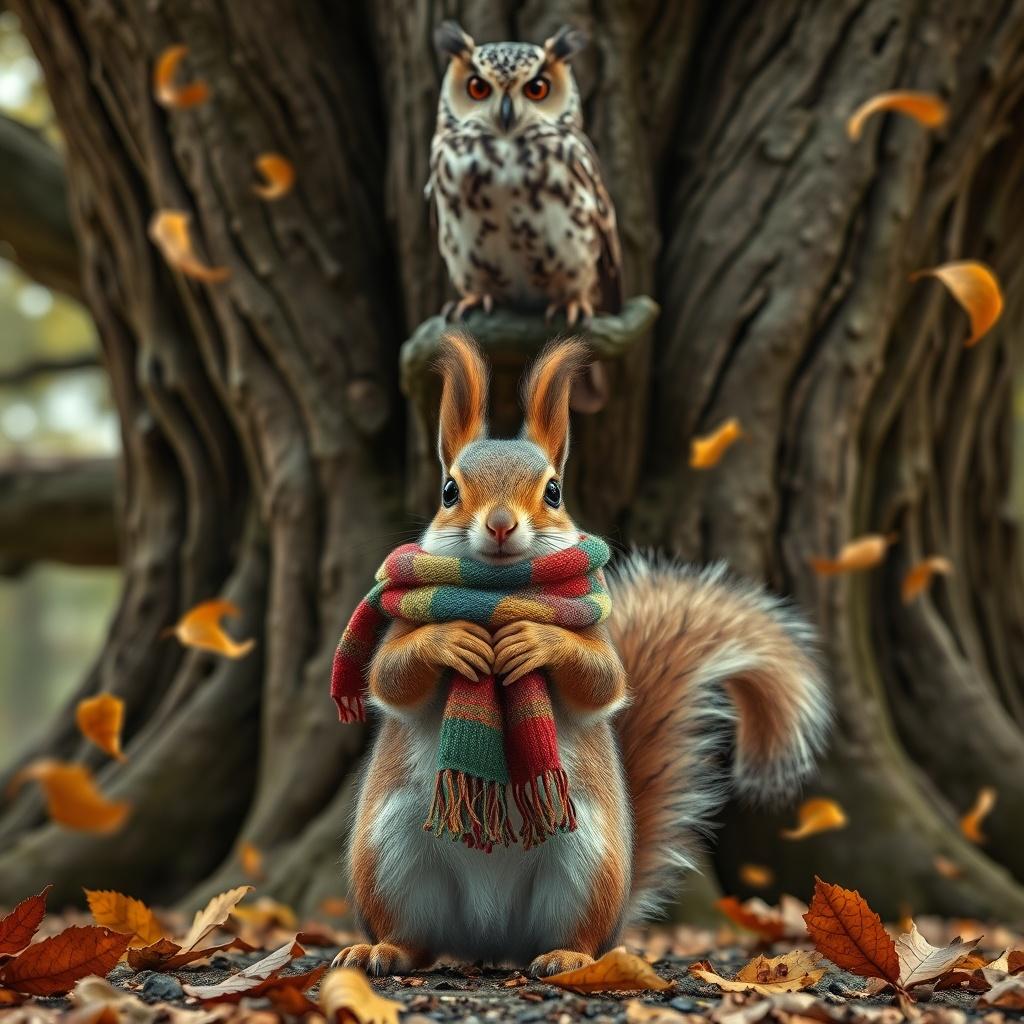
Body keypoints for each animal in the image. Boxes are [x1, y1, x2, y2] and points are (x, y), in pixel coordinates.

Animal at [335, 332, 830, 977]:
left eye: (554, 491)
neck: (499, 594)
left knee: (580, 937)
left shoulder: (597, 635)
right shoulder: (400, 628)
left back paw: (566, 957)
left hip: (586, 866)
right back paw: (381, 949)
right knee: (415, 937)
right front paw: (452, 639)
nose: (500, 524)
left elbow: (603, 680)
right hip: (389, 855)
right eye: (448, 491)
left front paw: (536, 639)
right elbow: (389, 677)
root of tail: (489, 939)